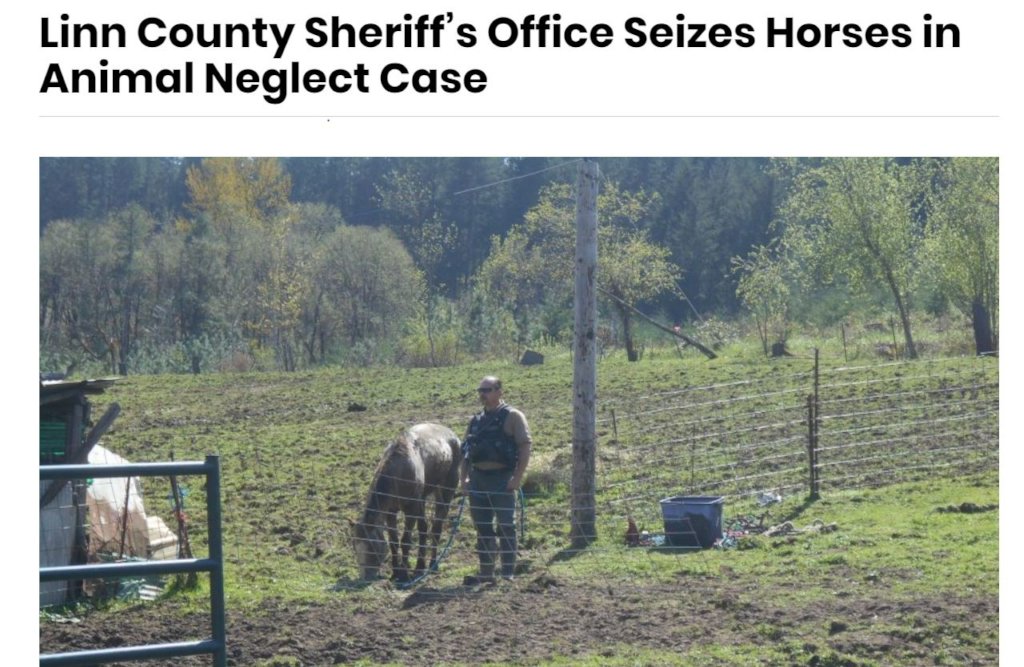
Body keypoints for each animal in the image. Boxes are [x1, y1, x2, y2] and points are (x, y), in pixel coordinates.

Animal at [351, 423, 462, 581]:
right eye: (355, 546)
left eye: (371, 546)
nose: (365, 577)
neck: (399, 471)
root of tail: (452, 436)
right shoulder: (391, 512)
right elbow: (393, 541)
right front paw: (396, 571)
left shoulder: (411, 510)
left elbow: (405, 540)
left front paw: (403, 573)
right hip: (423, 499)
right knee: (423, 529)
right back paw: (420, 566)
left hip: (445, 491)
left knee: (436, 528)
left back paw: (432, 564)